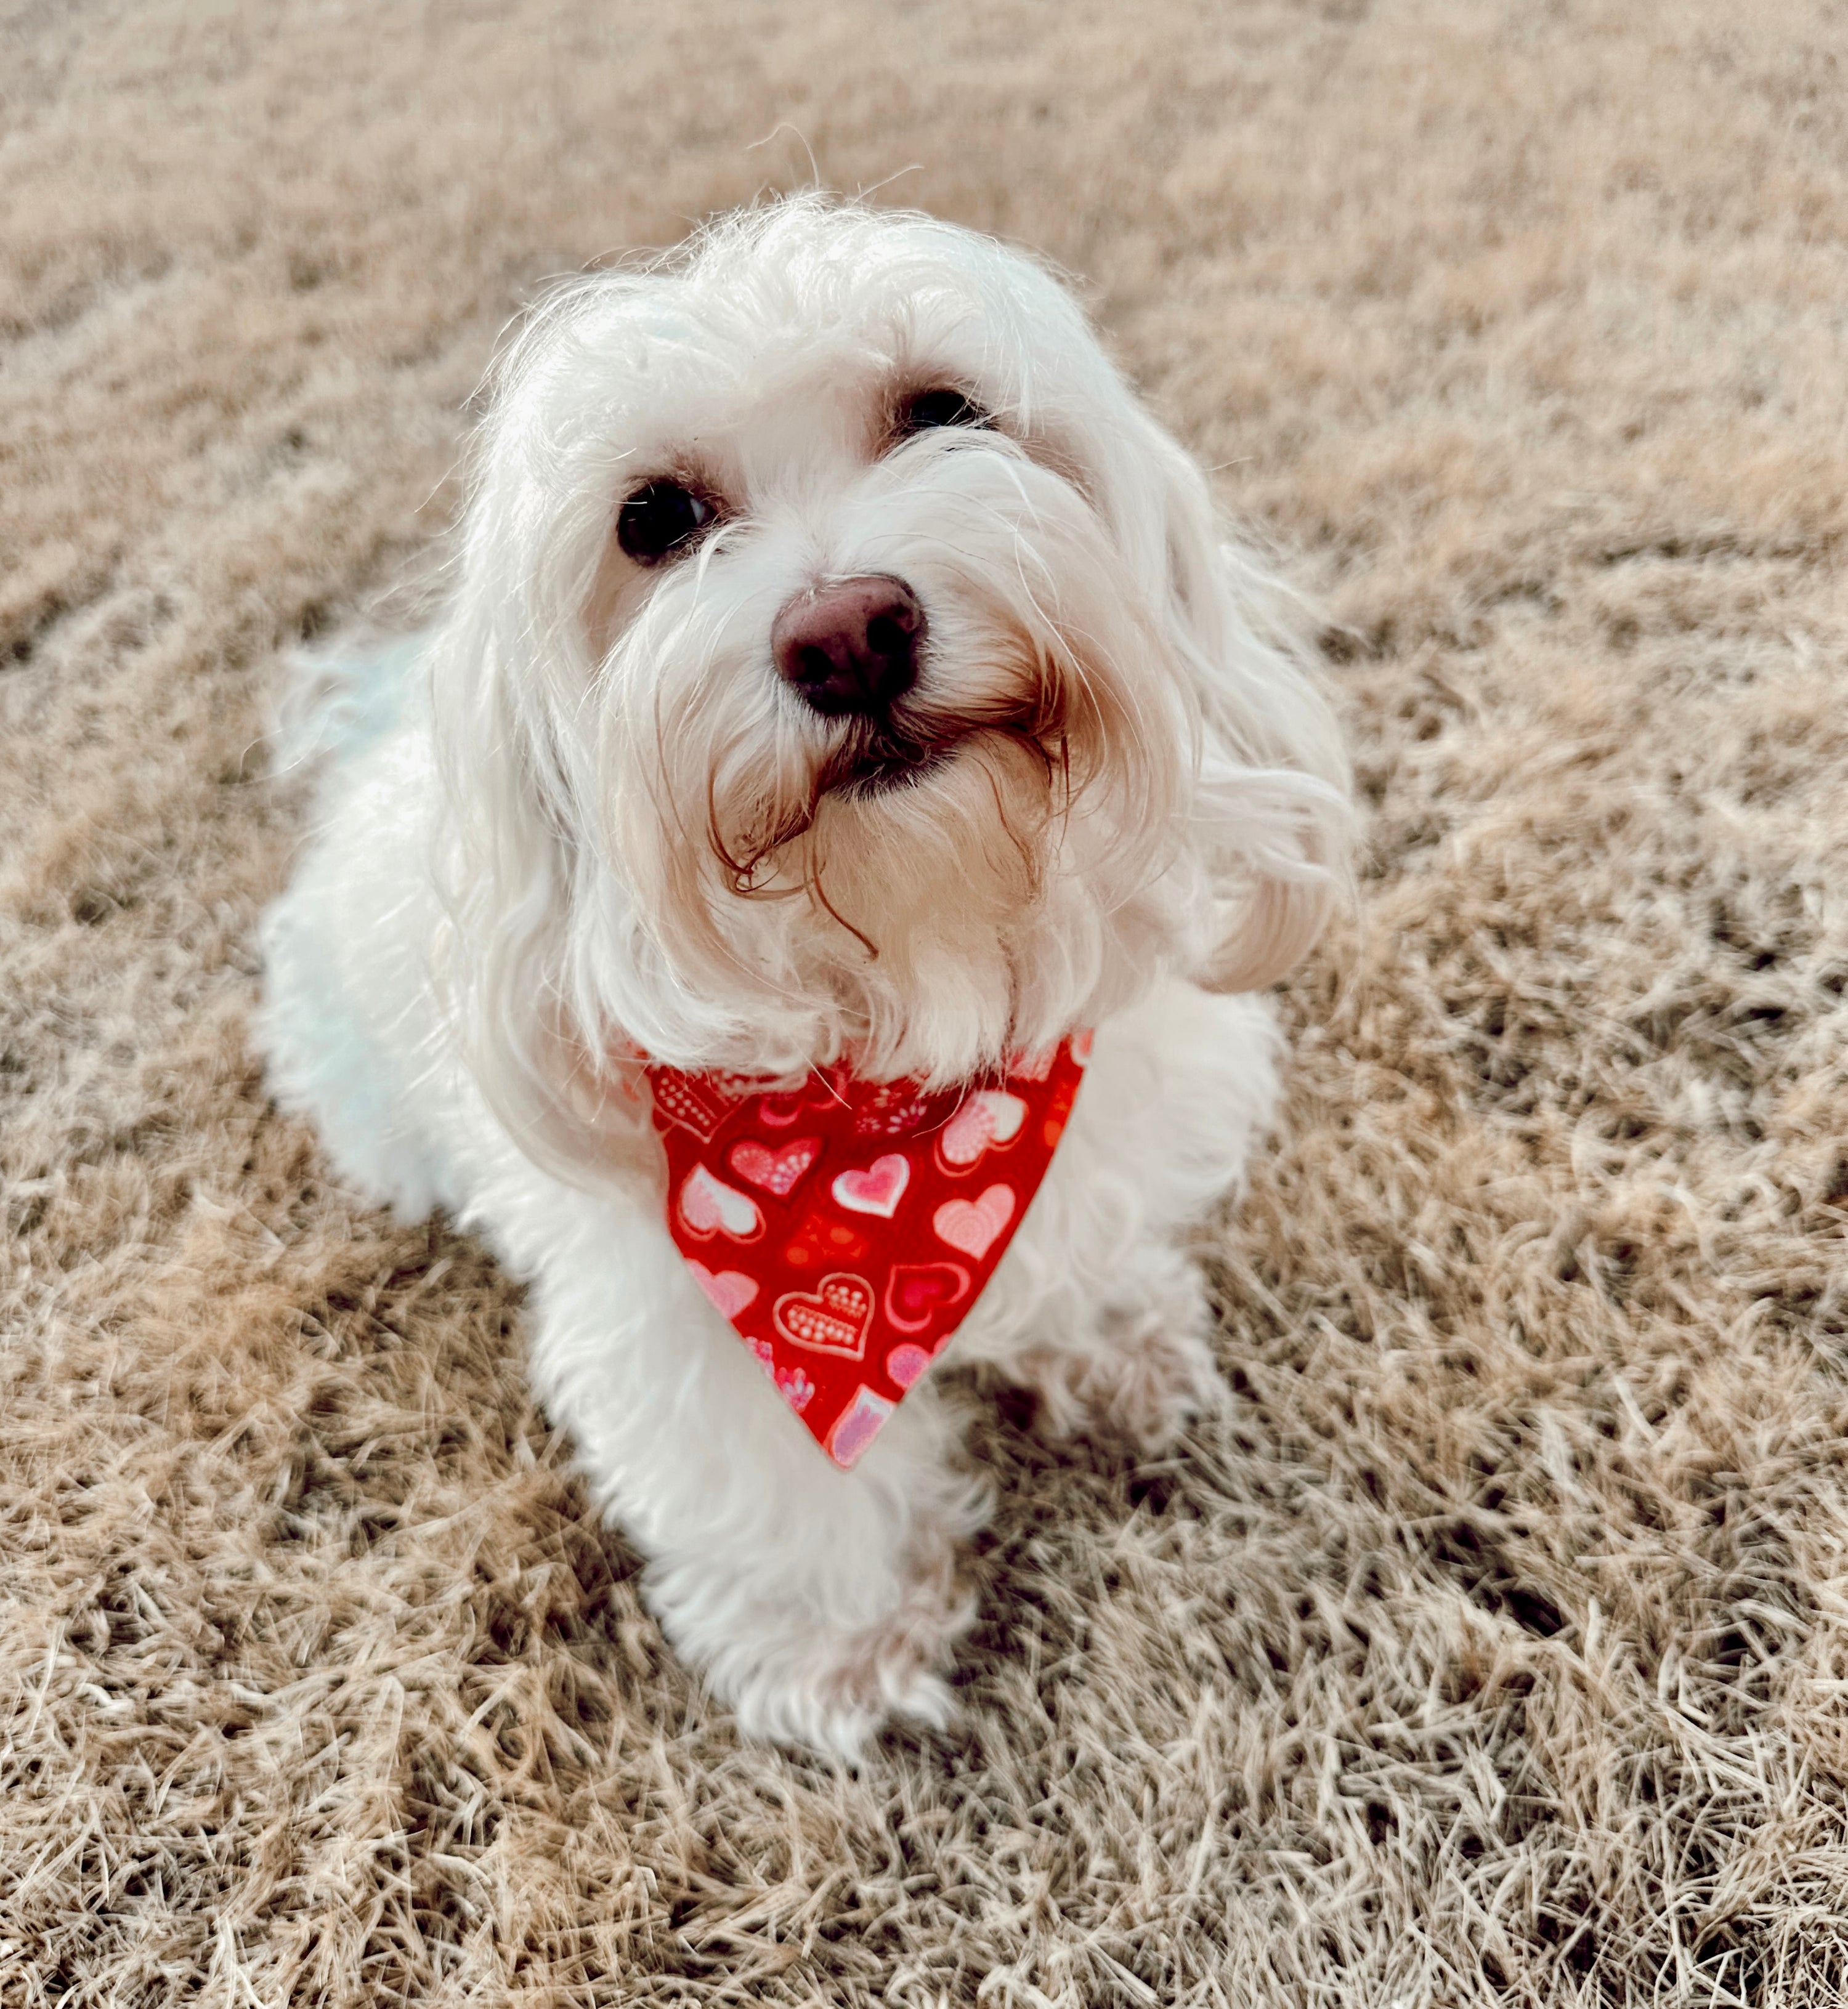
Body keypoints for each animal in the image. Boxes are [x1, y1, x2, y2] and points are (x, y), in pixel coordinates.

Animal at [256, 196, 1342, 1752]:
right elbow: (767, 1483)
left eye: (942, 409)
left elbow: (1086, 1244)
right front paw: (844, 1643)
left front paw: (1112, 1339)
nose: (846, 633)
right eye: (653, 519)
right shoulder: (674, 1316)